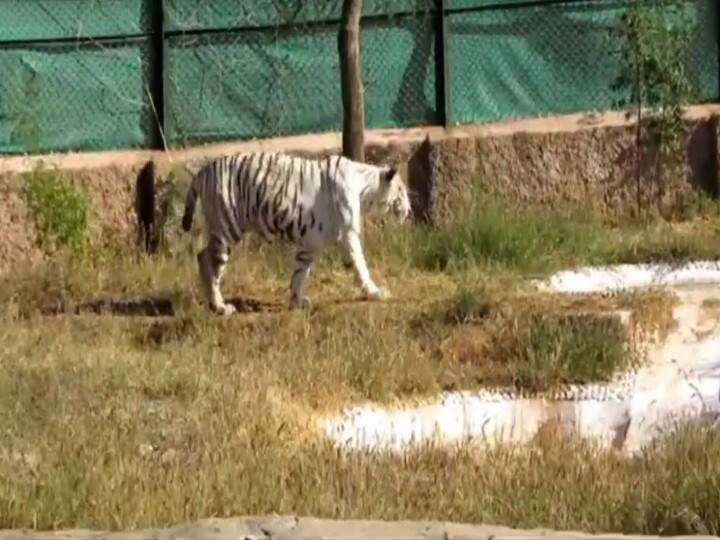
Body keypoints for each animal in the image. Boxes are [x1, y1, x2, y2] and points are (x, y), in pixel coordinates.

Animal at [180, 152, 410, 314]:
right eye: (401, 192)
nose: (409, 211)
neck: (365, 188)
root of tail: (202, 171)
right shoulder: (349, 235)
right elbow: (361, 266)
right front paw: (376, 292)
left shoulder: (310, 244)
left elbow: (300, 273)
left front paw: (297, 302)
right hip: (226, 227)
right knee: (211, 264)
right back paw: (220, 306)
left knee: (201, 255)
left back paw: (211, 304)